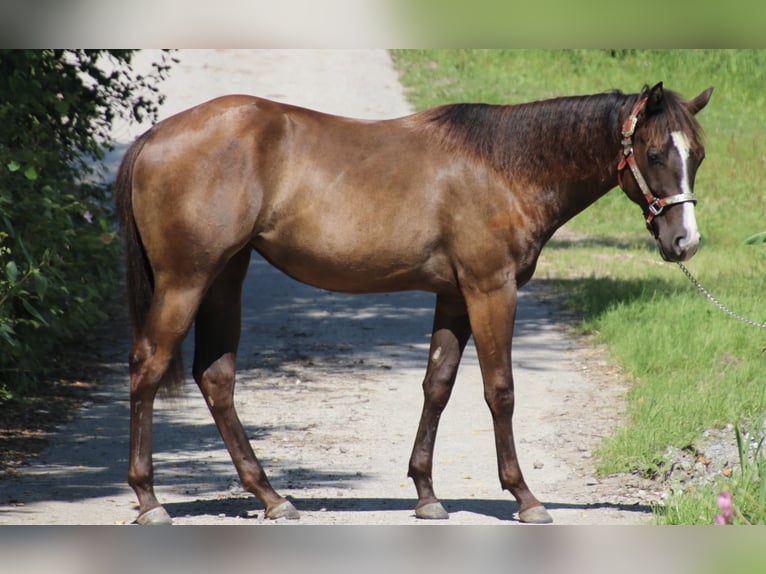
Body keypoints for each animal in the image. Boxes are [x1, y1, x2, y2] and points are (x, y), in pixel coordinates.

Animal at [114, 82, 712, 528]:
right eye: (655, 154)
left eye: (698, 156)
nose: (685, 242)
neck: (505, 166)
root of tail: (155, 135)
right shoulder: (490, 290)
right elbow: (500, 390)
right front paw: (524, 496)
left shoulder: (452, 296)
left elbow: (437, 385)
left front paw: (426, 494)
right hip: (186, 281)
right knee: (148, 367)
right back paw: (149, 500)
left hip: (223, 277)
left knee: (215, 377)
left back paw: (272, 497)